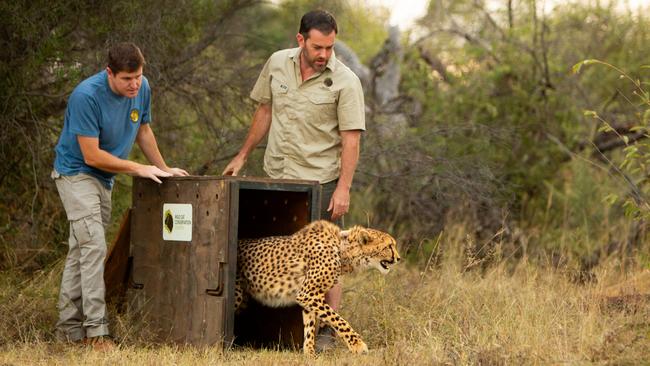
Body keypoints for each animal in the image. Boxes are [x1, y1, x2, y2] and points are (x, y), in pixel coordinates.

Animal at [235, 220, 398, 354]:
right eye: (389, 246)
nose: (398, 258)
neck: (343, 250)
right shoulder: (308, 294)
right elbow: (338, 320)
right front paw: (357, 345)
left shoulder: (310, 296)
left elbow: (310, 326)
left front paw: (309, 354)